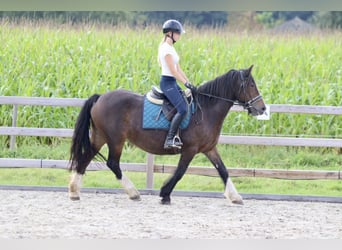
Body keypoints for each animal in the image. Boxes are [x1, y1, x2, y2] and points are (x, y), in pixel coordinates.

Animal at [69, 65, 266, 204]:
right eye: (251, 84)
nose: (262, 108)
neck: (206, 110)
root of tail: (100, 97)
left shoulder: (209, 148)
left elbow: (223, 170)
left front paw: (235, 196)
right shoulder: (190, 149)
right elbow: (180, 172)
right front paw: (165, 194)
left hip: (100, 137)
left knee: (85, 158)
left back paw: (74, 191)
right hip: (115, 140)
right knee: (112, 163)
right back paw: (133, 193)